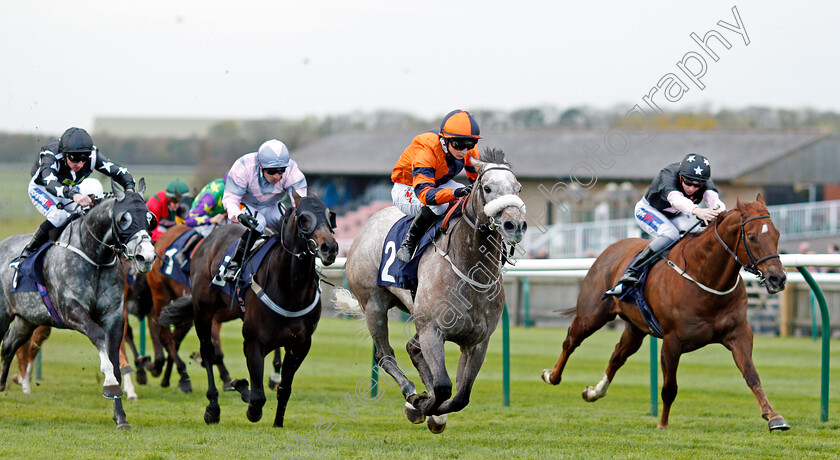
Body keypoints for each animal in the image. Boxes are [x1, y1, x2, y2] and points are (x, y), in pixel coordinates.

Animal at [0, 179, 156, 428]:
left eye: (150, 218)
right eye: (124, 218)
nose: (147, 257)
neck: (95, 258)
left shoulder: (114, 316)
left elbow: (115, 359)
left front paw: (120, 416)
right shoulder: (71, 310)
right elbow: (99, 338)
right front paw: (109, 384)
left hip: (27, 320)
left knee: (8, 346)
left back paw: (2, 382)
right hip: (3, 314)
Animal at [189, 191, 336, 428]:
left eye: (330, 215)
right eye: (303, 218)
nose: (329, 248)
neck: (291, 291)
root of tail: (210, 237)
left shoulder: (300, 344)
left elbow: (284, 389)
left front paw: (278, 422)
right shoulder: (254, 341)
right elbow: (257, 397)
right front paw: (242, 390)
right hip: (202, 311)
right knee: (207, 352)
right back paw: (212, 407)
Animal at [334, 149, 524, 434]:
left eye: (518, 188)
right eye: (487, 188)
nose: (515, 225)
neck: (470, 271)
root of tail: (367, 224)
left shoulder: (477, 341)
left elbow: (461, 396)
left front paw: (434, 412)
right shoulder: (432, 330)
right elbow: (444, 386)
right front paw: (419, 404)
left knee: (412, 348)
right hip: (374, 305)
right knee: (385, 355)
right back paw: (411, 391)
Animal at [540, 194, 792, 432]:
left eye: (777, 235)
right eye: (752, 236)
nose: (777, 279)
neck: (706, 277)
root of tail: (610, 249)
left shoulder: (739, 333)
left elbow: (751, 375)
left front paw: (774, 417)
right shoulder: (672, 341)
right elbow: (670, 387)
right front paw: (662, 424)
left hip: (635, 328)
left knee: (617, 356)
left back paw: (594, 392)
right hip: (591, 314)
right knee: (571, 341)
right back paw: (551, 376)